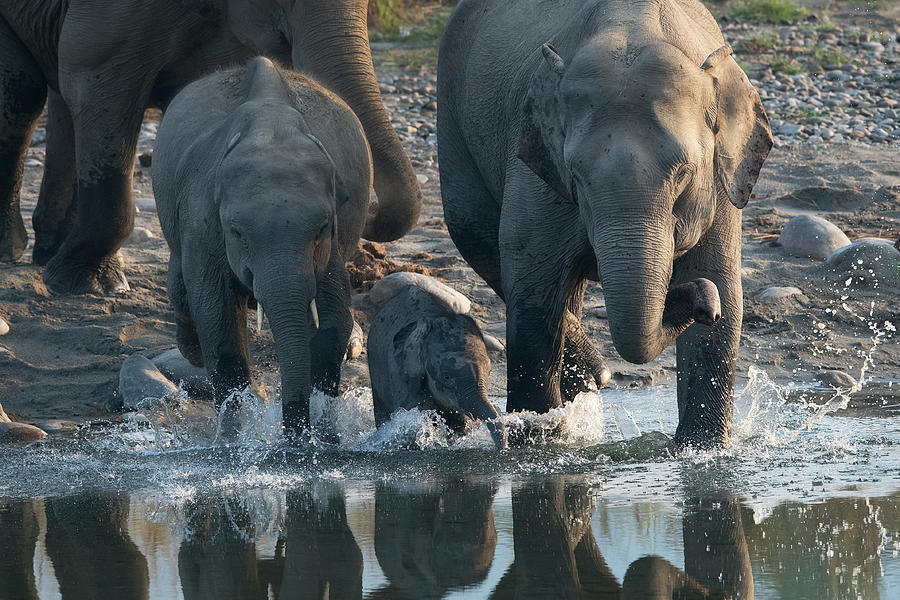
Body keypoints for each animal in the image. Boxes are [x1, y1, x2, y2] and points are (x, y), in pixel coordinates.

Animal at [0, 0, 422, 294]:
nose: (367, 211)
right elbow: (92, 77)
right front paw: (90, 285)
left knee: (54, 97)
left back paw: (49, 250)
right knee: (24, 92)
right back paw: (17, 252)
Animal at [153, 57, 370, 436]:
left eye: (322, 227)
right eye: (237, 231)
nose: (294, 434)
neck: (270, 124)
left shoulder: (332, 239)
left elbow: (331, 316)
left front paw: (323, 435)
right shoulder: (202, 217)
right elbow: (217, 314)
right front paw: (232, 436)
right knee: (182, 287)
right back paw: (193, 353)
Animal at [438, 0, 772, 446]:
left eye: (684, 173)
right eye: (577, 176)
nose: (699, 303)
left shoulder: (720, 187)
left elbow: (724, 288)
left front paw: (702, 450)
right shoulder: (537, 173)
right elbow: (533, 294)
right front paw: (539, 444)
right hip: (452, 124)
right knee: (481, 245)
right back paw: (589, 380)